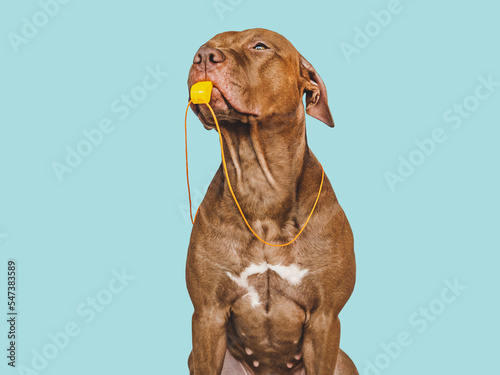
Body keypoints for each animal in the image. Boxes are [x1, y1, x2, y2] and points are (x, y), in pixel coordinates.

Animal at [187, 27, 356, 374]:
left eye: (260, 46)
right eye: (207, 46)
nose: (203, 56)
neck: (261, 187)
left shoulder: (325, 318)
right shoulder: (207, 314)